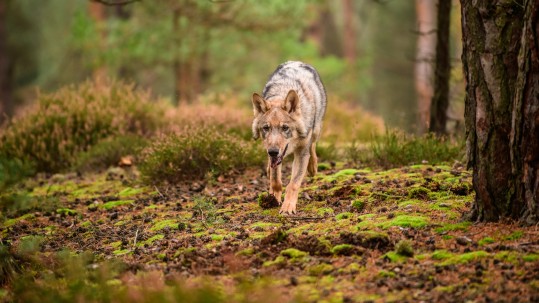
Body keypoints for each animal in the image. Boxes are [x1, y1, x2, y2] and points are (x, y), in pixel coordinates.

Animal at [251, 60, 326, 215]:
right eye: (266, 128)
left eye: (285, 128)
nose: (273, 152)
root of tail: (297, 62)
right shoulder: (273, 155)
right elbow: (275, 181)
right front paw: (273, 199)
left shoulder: (301, 153)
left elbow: (293, 184)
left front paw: (287, 207)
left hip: (316, 130)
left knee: (313, 145)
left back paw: (312, 167)